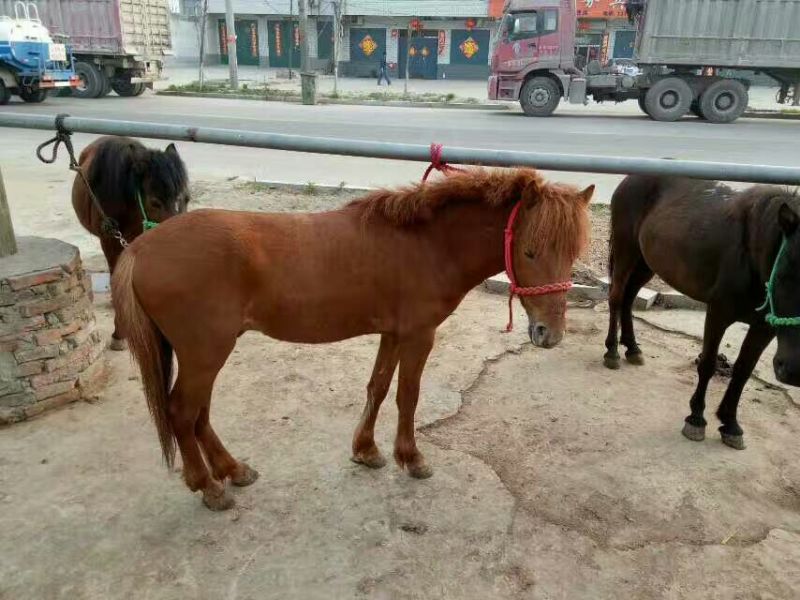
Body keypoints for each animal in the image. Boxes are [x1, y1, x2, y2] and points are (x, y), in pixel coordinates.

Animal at [111, 167, 594, 510]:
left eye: (572, 253)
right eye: (529, 251)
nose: (549, 334)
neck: (428, 244)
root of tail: (139, 249)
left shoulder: (393, 333)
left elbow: (377, 388)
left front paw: (366, 450)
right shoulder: (419, 335)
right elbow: (407, 396)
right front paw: (411, 458)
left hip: (204, 354)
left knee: (198, 415)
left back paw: (233, 470)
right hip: (205, 353)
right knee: (181, 412)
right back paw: (209, 488)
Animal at [604, 175, 800, 450]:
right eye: (784, 274)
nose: (793, 370)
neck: (751, 250)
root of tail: (628, 180)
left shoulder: (764, 328)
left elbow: (743, 372)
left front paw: (730, 424)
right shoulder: (718, 312)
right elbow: (708, 363)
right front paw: (695, 419)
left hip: (646, 262)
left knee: (629, 299)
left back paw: (632, 349)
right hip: (626, 251)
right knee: (617, 298)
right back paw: (612, 352)